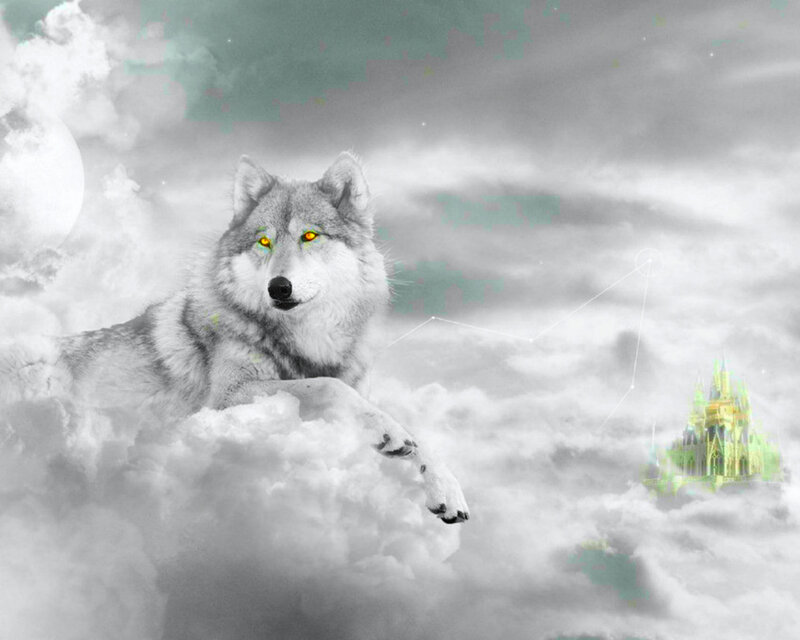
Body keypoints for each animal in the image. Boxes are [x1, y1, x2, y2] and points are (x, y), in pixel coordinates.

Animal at [46, 152, 469, 524]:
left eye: (309, 235)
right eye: (264, 242)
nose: (278, 287)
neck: (306, 340)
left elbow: (413, 436)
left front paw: (446, 488)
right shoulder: (226, 397)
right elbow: (327, 386)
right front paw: (388, 432)